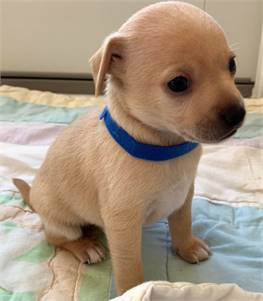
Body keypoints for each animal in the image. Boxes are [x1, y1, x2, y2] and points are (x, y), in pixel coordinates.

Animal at [13, 1, 246, 294]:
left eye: (232, 64)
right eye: (178, 83)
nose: (238, 114)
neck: (163, 148)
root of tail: (33, 197)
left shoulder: (184, 195)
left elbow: (182, 223)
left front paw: (187, 246)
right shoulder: (123, 224)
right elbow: (129, 266)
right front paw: (134, 291)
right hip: (62, 222)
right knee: (55, 237)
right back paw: (85, 245)